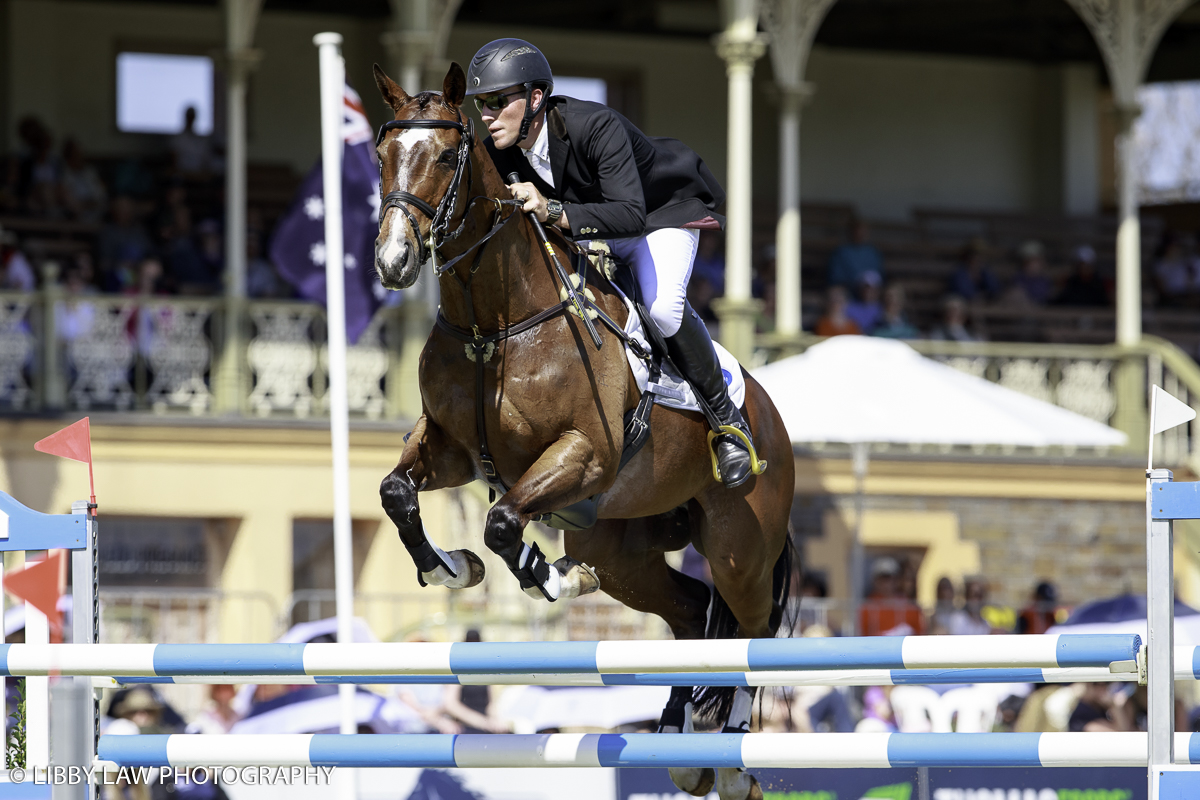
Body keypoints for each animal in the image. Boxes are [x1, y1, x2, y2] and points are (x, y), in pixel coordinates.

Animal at [369, 62, 792, 800]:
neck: (494, 324)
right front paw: (452, 569)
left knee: (750, 624)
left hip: (741, 547)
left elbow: (503, 523)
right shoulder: (452, 451)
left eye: (447, 156)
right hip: (623, 549)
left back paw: (731, 756)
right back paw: (681, 740)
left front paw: (553, 579)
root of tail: (776, 423)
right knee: (690, 613)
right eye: (381, 153)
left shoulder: (584, 454)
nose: (392, 262)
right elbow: (400, 495)